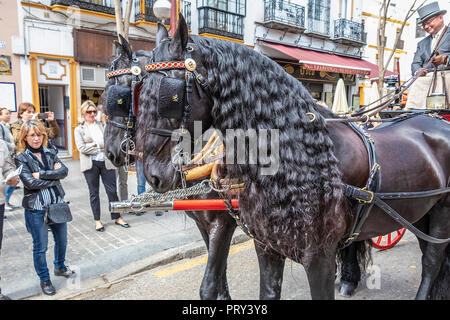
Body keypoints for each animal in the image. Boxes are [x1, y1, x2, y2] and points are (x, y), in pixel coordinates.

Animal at [136, 15, 450, 300]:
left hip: (441, 212)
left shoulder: (319, 257)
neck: (302, 158)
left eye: (170, 96)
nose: (153, 175)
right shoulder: (266, 246)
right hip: (420, 213)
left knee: (432, 261)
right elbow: (265, 291)